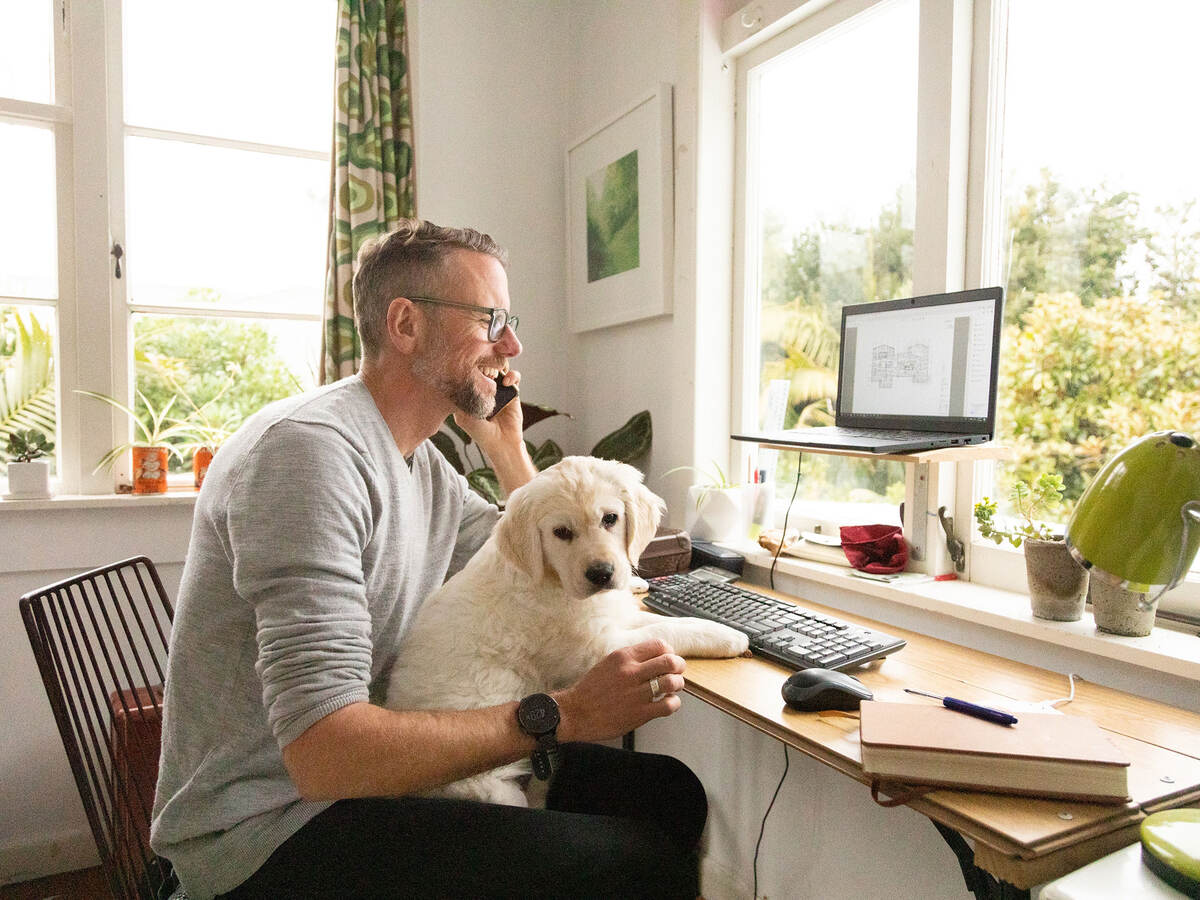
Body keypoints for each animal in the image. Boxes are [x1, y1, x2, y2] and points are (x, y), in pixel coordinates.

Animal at [384, 458, 744, 801]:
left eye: (610, 519)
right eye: (561, 532)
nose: (601, 574)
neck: (552, 578)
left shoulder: (613, 617)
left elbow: (667, 622)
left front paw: (712, 625)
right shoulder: (595, 649)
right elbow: (664, 632)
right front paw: (728, 637)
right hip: (488, 786)